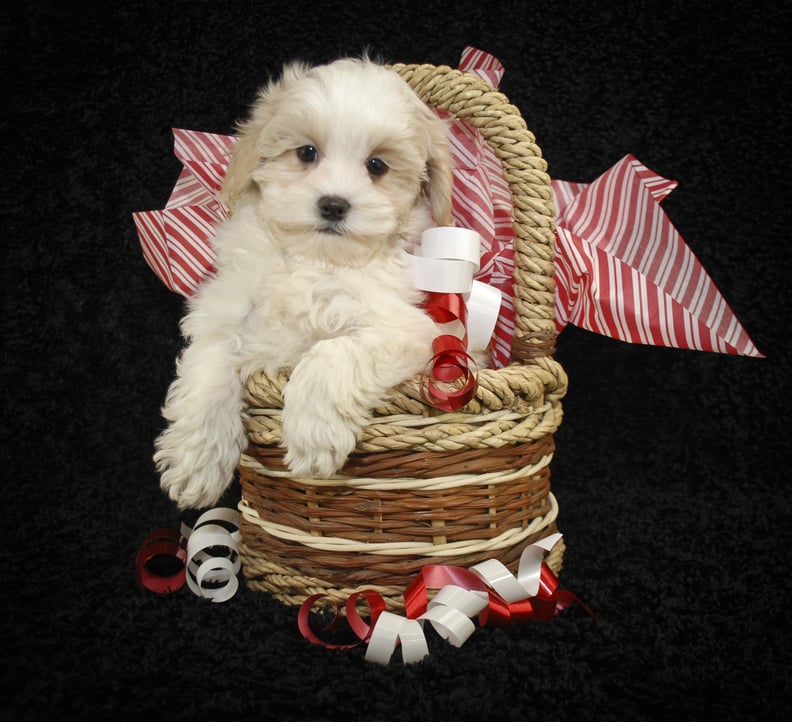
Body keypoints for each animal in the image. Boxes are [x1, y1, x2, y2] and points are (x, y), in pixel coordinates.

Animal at [155, 57, 452, 506]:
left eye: (377, 166)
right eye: (307, 152)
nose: (333, 204)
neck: (312, 259)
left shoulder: (408, 331)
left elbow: (332, 350)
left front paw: (313, 434)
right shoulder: (227, 315)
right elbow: (210, 364)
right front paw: (197, 457)